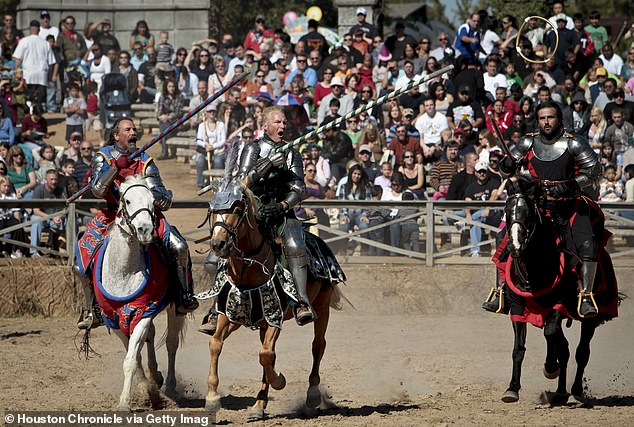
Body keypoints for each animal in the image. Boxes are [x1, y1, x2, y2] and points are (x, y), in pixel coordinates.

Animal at [92, 176, 185, 412]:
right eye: (127, 201)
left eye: (153, 202)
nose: (145, 229)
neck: (124, 271)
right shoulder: (114, 319)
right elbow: (135, 356)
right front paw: (146, 389)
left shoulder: (144, 312)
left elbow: (131, 359)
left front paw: (125, 403)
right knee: (151, 338)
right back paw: (155, 379)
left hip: (174, 309)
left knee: (171, 343)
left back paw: (170, 386)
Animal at [202, 180, 344, 422]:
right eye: (212, 210)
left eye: (238, 210)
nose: (219, 244)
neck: (248, 270)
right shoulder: (228, 315)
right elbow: (215, 345)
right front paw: (212, 399)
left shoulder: (274, 317)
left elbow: (267, 355)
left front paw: (280, 380)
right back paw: (259, 406)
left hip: (322, 306)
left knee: (317, 346)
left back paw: (312, 396)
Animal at [488, 176, 616, 406]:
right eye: (507, 209)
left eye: (528, 212)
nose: (514, 246)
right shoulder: (518, 308)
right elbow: (518, 349)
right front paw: (512, 388)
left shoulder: (559, 304)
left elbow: (551, 335)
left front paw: (550, 368)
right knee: (563, 348)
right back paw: (560, 392)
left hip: (590, 317)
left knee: (581, 351)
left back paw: (575, 390)